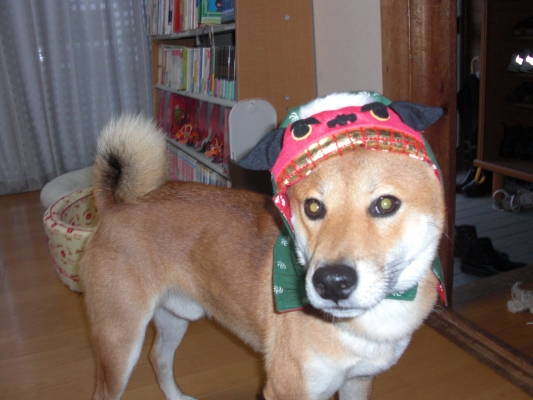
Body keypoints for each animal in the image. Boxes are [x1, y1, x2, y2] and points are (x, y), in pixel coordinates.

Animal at [81, 92, 446, 400]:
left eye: (385, 204)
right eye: (313, 207)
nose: (330, 283)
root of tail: (114, 207)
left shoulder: (358, 382)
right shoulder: (287, 390)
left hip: (174, 317)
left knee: (158, 358)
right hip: (120, 341)